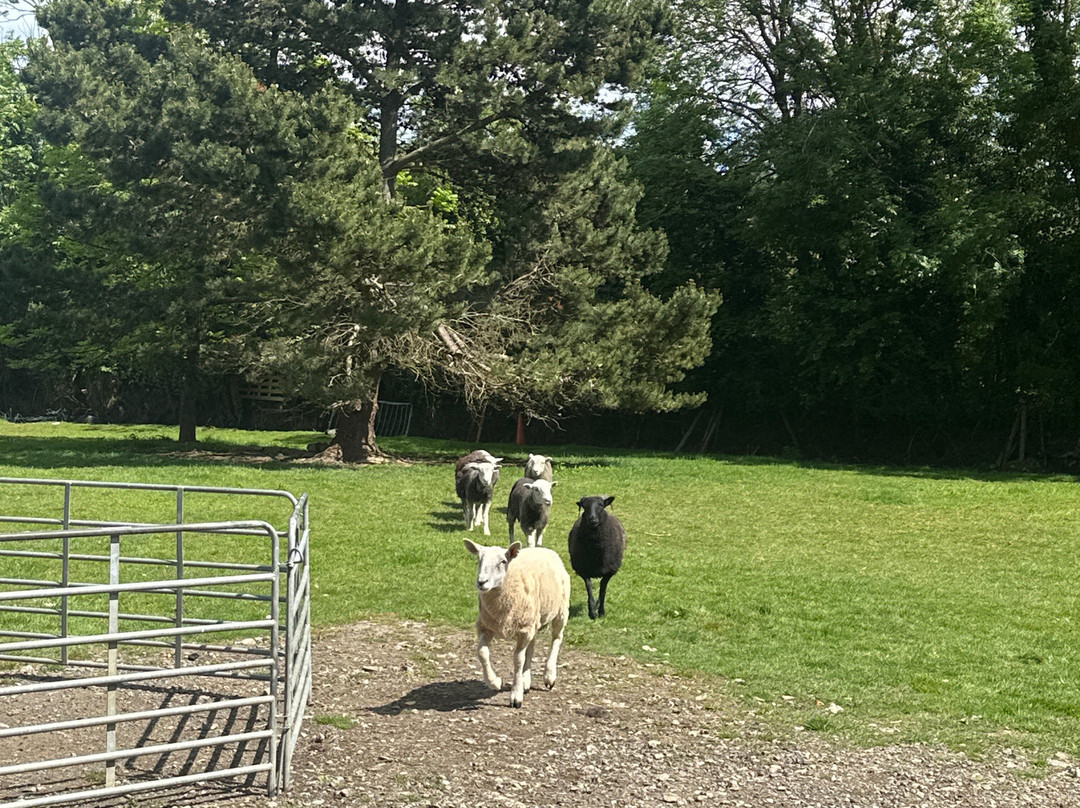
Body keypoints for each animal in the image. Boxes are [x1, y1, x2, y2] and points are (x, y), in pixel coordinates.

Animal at [464, 539, 570, 707]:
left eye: (503, 561)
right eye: (479, 559)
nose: (481, 582)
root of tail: (542, 549)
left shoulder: (523, 630)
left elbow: (518, 660)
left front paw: (516, 695)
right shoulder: (487, 627)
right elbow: (481, 652)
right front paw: (494, 682)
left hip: (561, 610)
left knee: (556, 639)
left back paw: (549, 675)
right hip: (533, 620)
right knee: (531, 647)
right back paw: (526, 680)